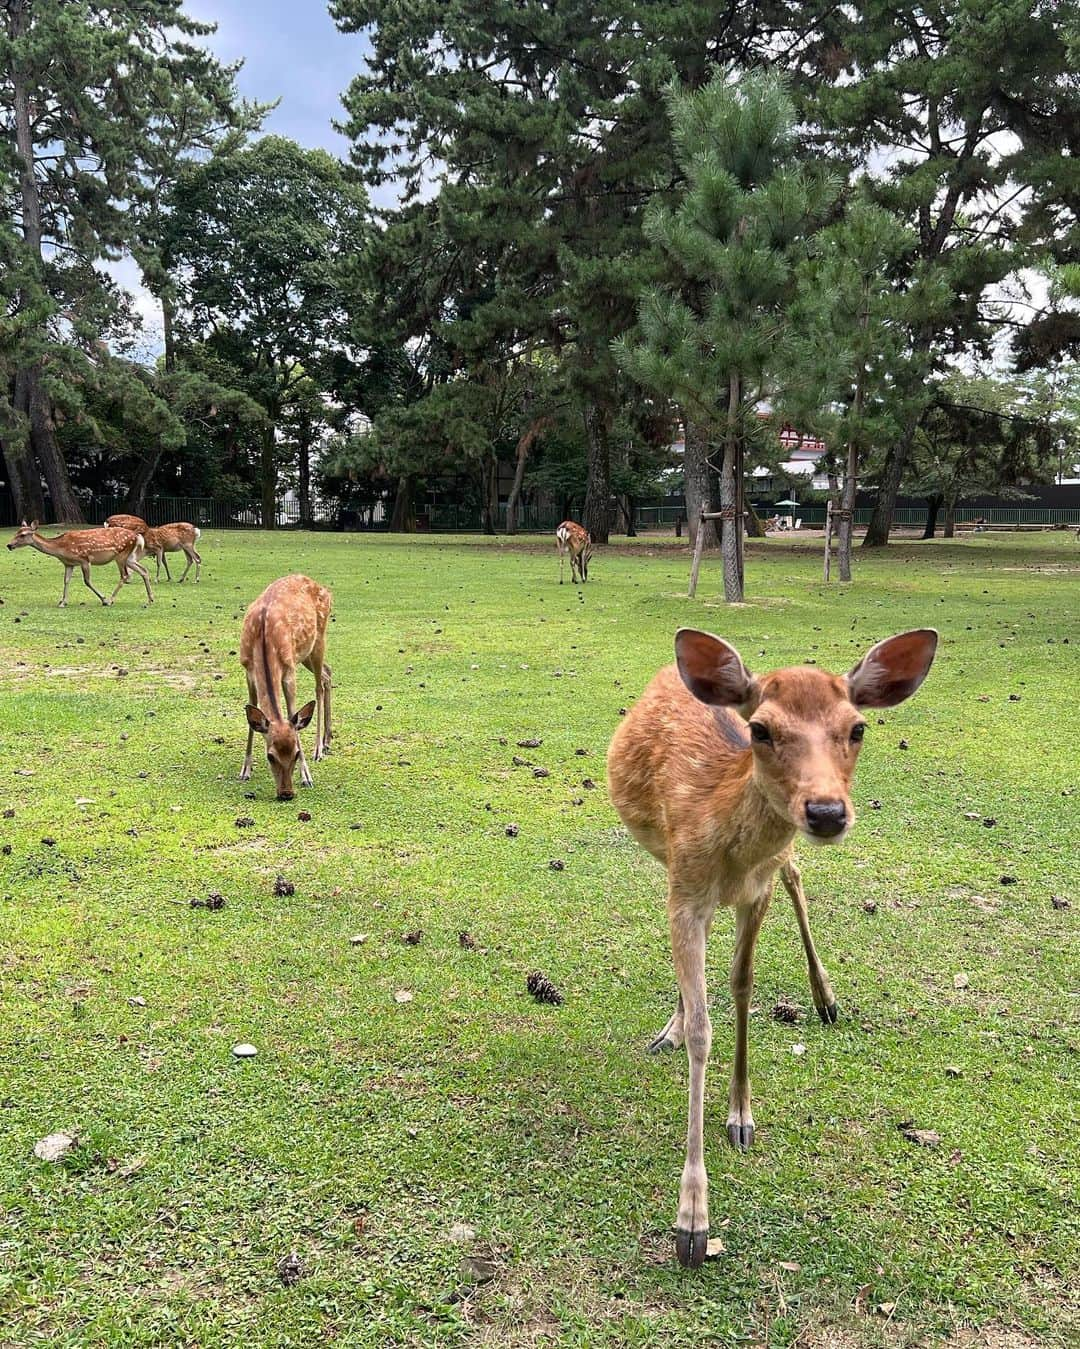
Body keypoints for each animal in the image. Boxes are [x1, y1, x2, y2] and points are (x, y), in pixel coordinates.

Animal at [6, 515, 153, 607]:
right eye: (16, 532)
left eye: (23, 535)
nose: (9, 545)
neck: (61, 549)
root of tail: (137, 536)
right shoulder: (68, 563)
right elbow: (66, 581)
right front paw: (62, 602)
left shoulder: (84, 559)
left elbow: (87, 581)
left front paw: (104, 599)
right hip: (129, 557)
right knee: (144, 570)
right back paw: (150, 599)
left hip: (121, 555)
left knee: (125, 575)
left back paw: (111, 600)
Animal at [238, 571, 330, 798]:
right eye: (270, 756)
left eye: (296, 753)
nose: (286, 793)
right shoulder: (247, 669)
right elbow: (252, 712)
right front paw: (245, 769)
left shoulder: (288, 670)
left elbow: (292, 715)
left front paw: (306, 776)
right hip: (305, 654)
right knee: (328, 673)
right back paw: (327, 741)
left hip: (319, 639)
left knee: (319, 686)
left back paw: (318, 749)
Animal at [606, 625, 933, 1268]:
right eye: (760, 729)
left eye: (858, 728)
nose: (827, 811)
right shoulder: (686, 888)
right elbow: (704, 1025)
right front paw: (692, 1221)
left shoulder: (755, 893)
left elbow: (742, 987)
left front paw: (741, 1116)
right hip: (670, 863)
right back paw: (671, 1026)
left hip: (775, 863)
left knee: (795, 875)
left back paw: (826, 998)